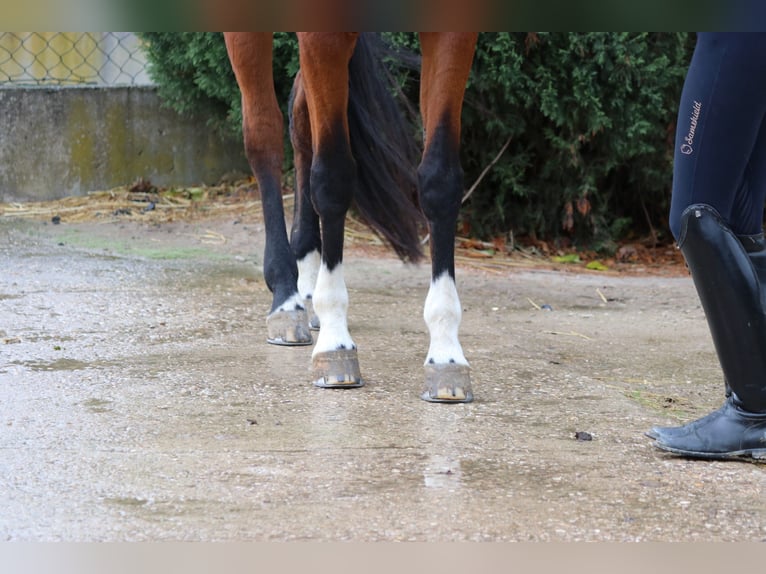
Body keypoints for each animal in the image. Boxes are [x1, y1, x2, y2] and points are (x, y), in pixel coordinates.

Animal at [223, 32, 478, 402]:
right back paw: (286, 296)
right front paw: (335, 342)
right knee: (263, 132)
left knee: (300, 114)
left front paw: (445, 353)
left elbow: (440, 181)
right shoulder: (322, 36)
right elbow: (332, 178)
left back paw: (306, 281)